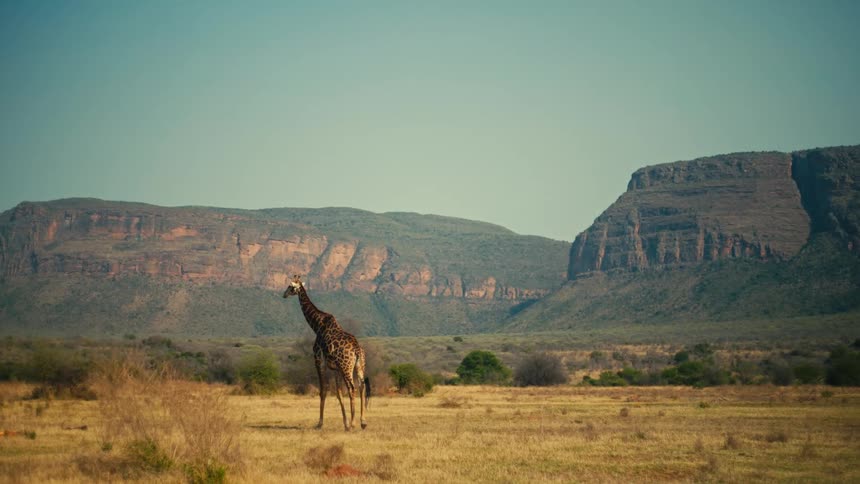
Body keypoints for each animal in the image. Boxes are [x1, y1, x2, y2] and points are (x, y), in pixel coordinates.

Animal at [283, 275, 369, 430]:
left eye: (290, 286)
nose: (284, 294)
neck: (316, 325)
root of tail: (357, 349)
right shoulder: (335, 368)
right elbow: (339, 393)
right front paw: (345, 423)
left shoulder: (318, 360)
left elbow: (323, 390)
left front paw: (320, 423)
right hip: (359, 366)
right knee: (361, 386)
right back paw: (362, 422)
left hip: (347, 367)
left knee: (352, 388)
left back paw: (354, 423)